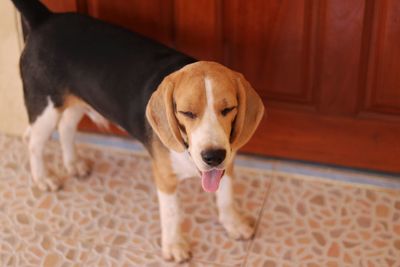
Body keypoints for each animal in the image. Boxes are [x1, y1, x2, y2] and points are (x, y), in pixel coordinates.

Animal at [10, 0, 264, 264]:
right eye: (187, 113)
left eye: (228, 109)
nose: (213, 156)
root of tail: (45, 18)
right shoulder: (165, 176)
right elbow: (172, 213)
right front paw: (174, 245)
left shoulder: (228, 161)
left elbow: (226, 197)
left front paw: (233, 224)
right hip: (45, 107)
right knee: (33, 141)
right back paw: (43, 178)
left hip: (77, 102)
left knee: (66, 127)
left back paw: (74, 164)